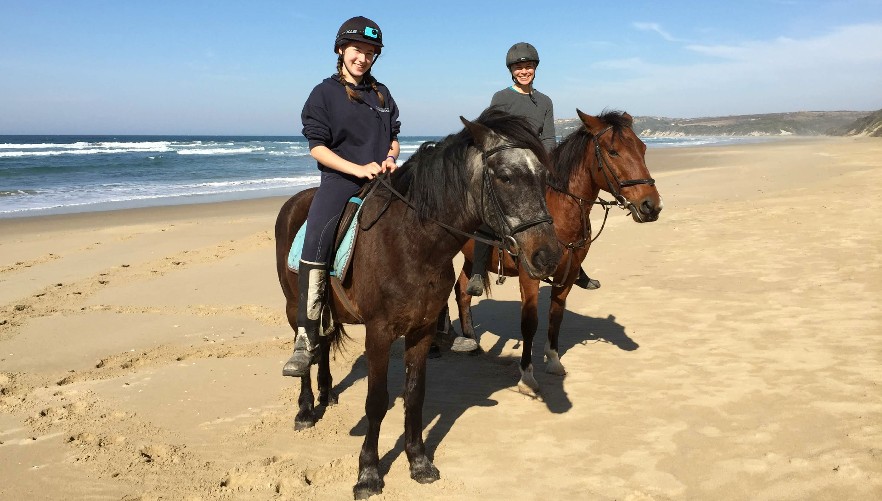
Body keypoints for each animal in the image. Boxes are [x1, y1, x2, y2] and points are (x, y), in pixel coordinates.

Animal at [276, 108, 560, 496]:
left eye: (545, 176)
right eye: (505, 176)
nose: (549, 256)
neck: (412, 242)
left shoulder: (422, 330)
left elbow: (414, 395)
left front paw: (419, 461)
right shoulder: (379, 333)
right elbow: (377, 401)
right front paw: (368, 473)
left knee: (323, 340)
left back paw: (327, 392)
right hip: (294, 305)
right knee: (306, 342)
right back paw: (306, 408)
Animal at [446, 108, 660, 394]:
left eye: (643, 148)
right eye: (613, 151)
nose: (651, 206)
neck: (558, 213)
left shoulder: (567, 275)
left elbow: (555, 316)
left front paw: (554, 360)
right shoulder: (529, 276)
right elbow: (530, 323)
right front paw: (526, 377)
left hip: (470, 260)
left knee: (462, 291)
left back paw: (471, 340)